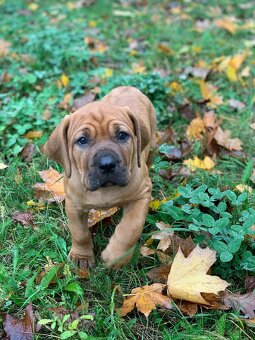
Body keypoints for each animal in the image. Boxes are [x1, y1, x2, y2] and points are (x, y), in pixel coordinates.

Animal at [42, 85, 156, 268]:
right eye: (82, 140)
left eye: (122, 135)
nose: (107, 164)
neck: (104, 190)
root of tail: (127, 87)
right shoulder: (74, 205)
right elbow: (79, 232)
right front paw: (81, 256)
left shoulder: (141, 196)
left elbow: (130, 228)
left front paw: (116, 256)